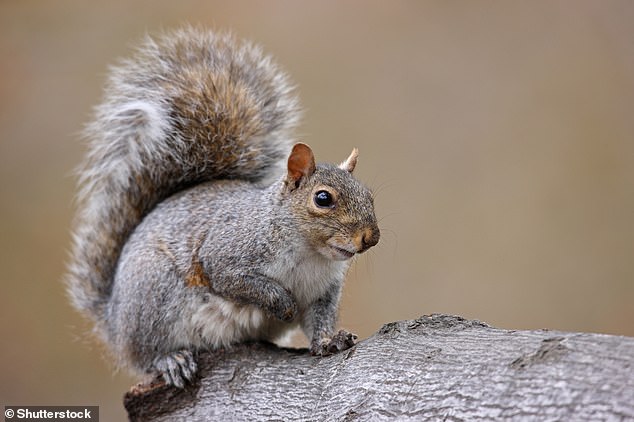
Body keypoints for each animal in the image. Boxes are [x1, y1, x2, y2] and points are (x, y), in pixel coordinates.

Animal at [66, 27, 378, 390]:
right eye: (323, 199)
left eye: (369, 195)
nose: (371, 237)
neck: (309, 253)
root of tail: (113, 320)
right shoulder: (227, 253)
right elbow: (235, 280)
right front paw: (281, 302)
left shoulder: (322, 292)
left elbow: (319, 320)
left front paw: (329, 341)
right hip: (152, 295)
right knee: (144, 354)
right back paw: (169, 360)